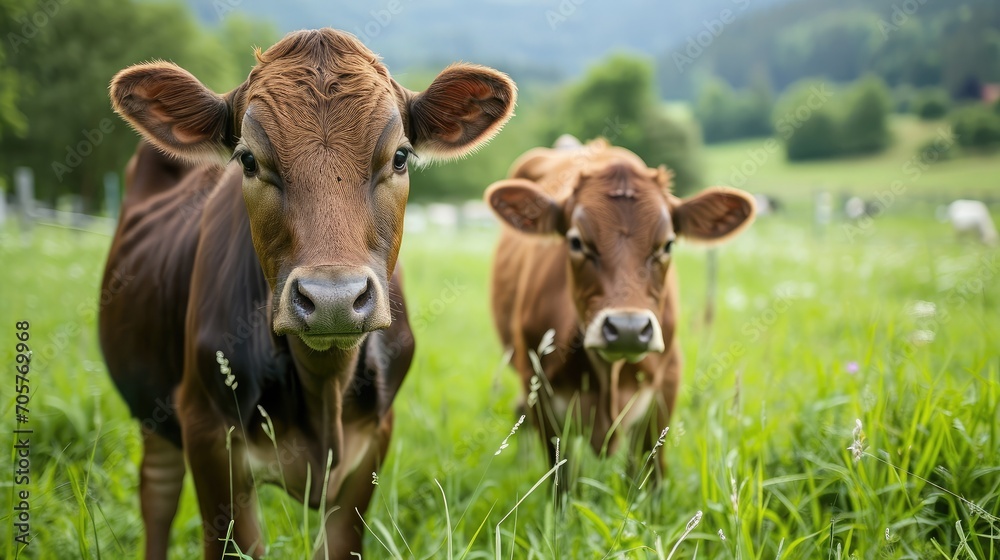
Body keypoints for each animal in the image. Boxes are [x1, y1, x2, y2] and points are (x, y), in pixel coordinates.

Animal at [100, 29, 516, 560]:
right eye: (248, 159)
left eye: (400, 156)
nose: (333, 298)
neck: (324, 390)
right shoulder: (206, 431)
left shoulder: (373, 442)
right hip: (154, 407)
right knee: (157, 493)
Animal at [484, 139, 752, 476]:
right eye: (576, 242)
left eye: (667, 244)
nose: (627, 329)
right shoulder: (539, 392)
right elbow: (561, 480)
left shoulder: (664, 391)